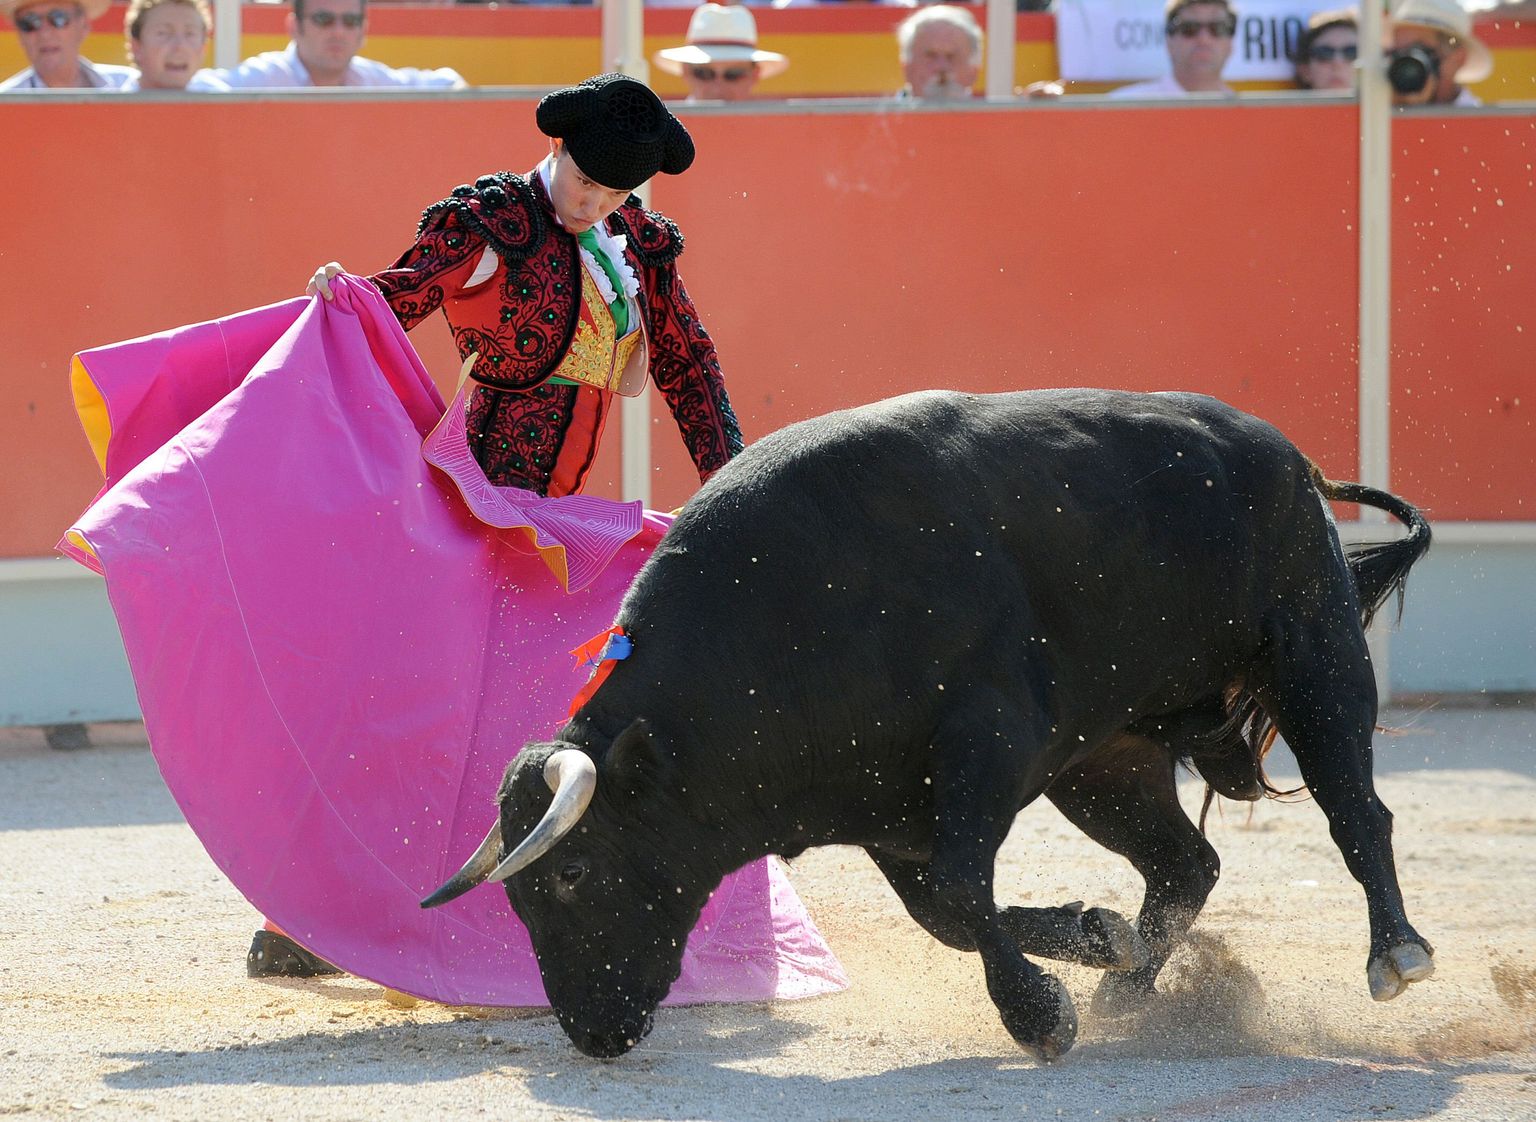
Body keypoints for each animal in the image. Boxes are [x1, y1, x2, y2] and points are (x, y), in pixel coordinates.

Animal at [423, 388, 1437, 1051]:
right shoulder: (886, 806)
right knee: (1187, 862)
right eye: (516, 896)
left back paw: (1396, 953)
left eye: (573, 873)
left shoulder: (987, 744)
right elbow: (944, 910)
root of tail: (1291, 456)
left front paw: (1042, 1017)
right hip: (1105, 761)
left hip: (1314, 653)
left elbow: (957, 888)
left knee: (1356, 810)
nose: (590, 1032)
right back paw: (1128, 985)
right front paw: (1093, 940)